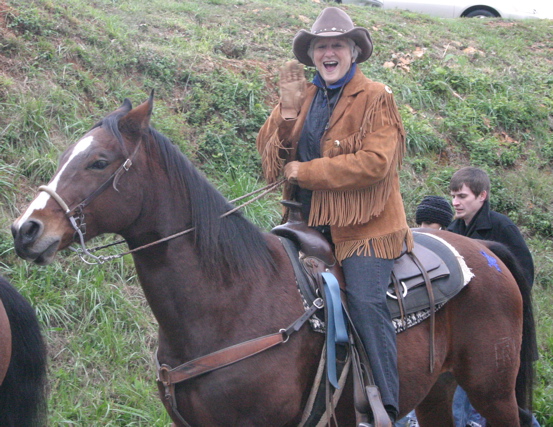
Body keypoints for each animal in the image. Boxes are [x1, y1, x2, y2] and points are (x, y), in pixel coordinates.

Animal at [11, 94, 536, 427]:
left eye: (99, 161)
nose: (25, 230)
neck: (232, 299)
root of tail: (485, 254)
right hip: (437, 391)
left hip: (492, 392)